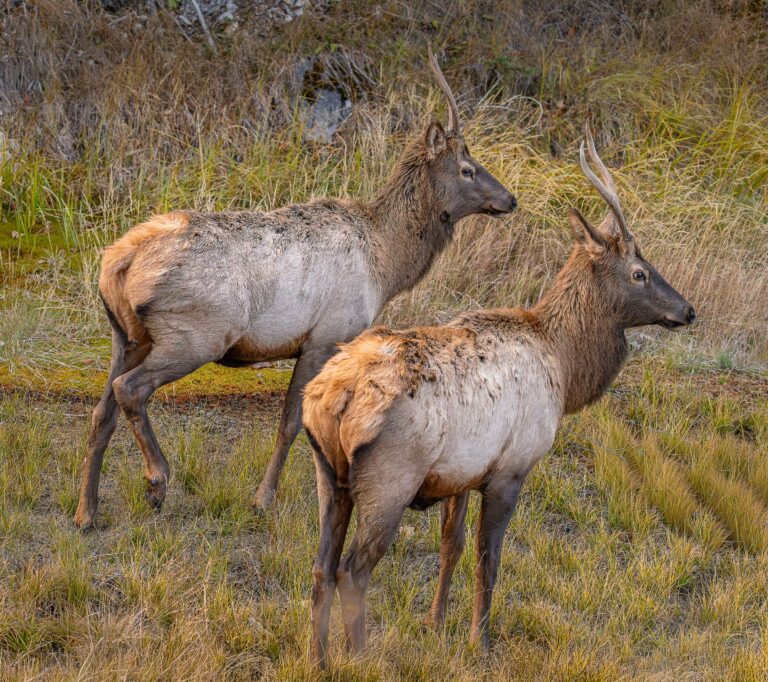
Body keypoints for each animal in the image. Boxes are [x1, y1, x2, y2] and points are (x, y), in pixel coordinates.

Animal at [72, 48, 517, 529]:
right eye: (467, 169)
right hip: (195, 334)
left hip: (126, 335)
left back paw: (86, 512)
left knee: (100, 412)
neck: (385, 264)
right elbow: (290, 422)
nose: (510, 199)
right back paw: (157, 481)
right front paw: (262, 499)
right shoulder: (324, 336)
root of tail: (117, 262)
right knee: (130, 390)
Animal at [302, 124, 696, 668]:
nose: (688, 309)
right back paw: (361, 658)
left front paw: (434, 623)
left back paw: (318, 658)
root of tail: (331, 398)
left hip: (328, 473)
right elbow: (488, 560)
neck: (564, 366)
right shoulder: (512, 467)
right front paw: (479, 641)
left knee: (321, 566)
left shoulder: (462, 474)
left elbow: (451, 546)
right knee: (353, 571)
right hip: (390, 478)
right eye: (640, 272)